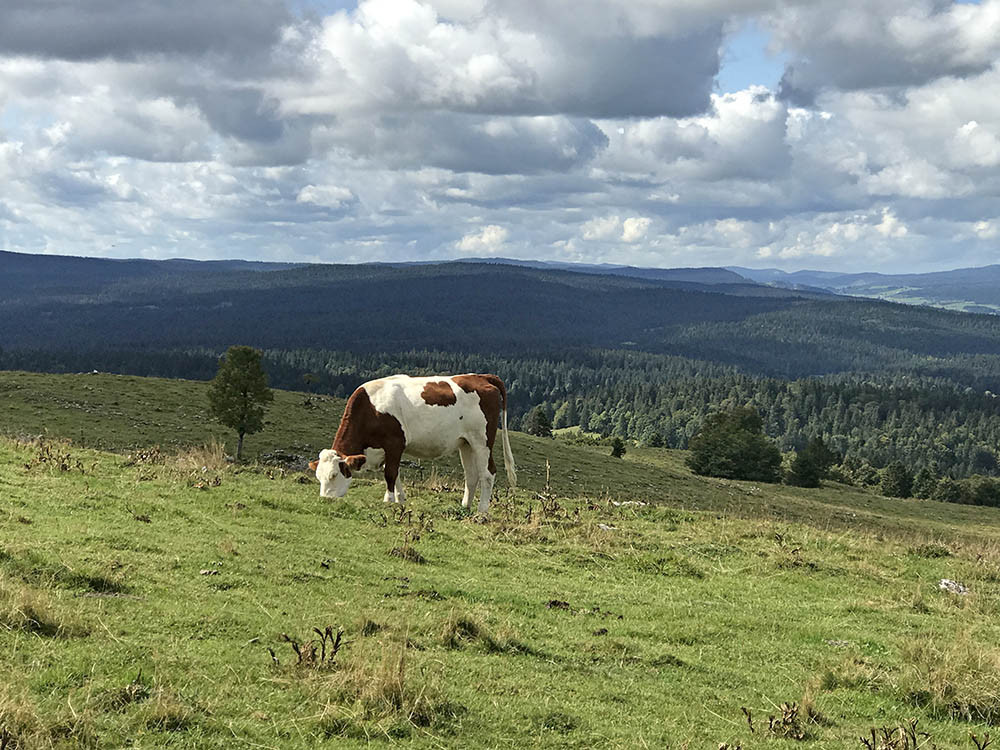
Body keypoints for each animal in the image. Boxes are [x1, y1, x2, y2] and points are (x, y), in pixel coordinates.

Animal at [309, 374, 516, 513]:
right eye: (318, 476)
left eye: (334, 475)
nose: (325, 500)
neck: (371, 408)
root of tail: (481, 377)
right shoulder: (386, 450)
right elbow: (396, 474)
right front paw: (400, 499)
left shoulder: (395, 443)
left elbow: (390, 473)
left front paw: (388, 500)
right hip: (466, 443)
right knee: (471, 475)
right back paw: (465, 506)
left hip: (482, 441)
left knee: (488, 473)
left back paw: (482, 510)